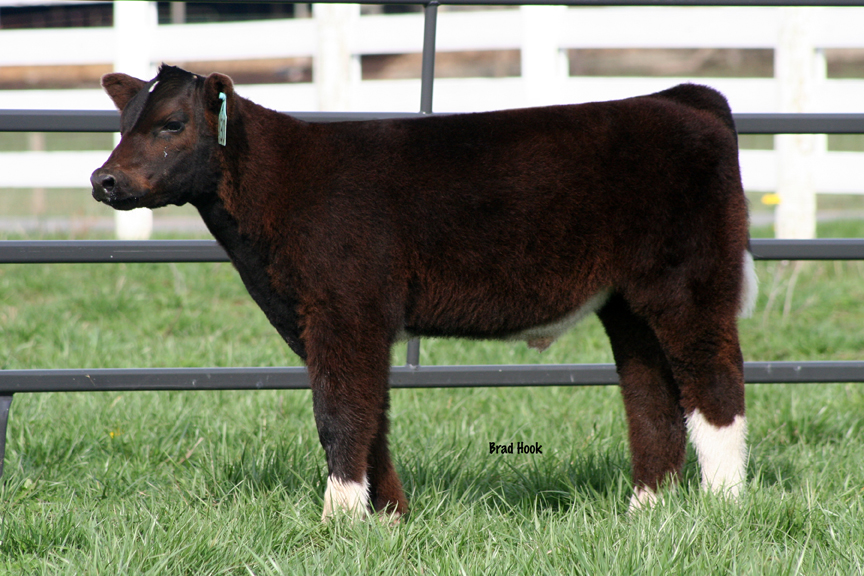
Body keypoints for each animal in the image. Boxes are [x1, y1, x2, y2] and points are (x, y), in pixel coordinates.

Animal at [91, 64, 757, 520]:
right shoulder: (342, 322)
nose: (104, 180)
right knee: (652, 396)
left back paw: (722, 504)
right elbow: (371, 414)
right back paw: (647, 509)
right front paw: (387, 517)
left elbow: (340, 413)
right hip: (628, 303)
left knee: (714, 382)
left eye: (172, 123)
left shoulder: (344, 312)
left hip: (689, 285)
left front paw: (338, 520)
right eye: (123, 126)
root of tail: (679, 98)